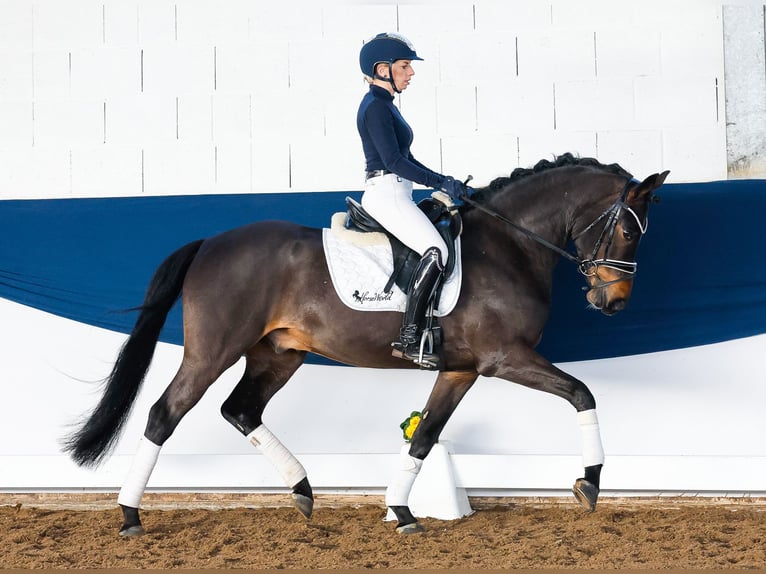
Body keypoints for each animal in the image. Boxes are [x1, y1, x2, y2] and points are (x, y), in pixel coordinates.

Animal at [63, 154, 668, 540]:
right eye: (629, 232)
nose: (613, 303)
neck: (509, 246)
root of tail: (211, 242)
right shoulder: (505, 359)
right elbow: (583, 393)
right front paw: (589, 484)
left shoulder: (461, 370)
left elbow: (425, 436)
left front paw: (401, 511)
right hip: (213, 351)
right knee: (165, 414)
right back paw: (130, 517)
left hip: (278, 354)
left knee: (240, 410)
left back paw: (304, 491)